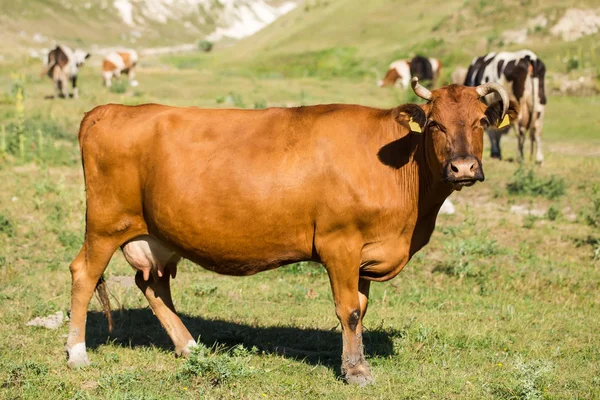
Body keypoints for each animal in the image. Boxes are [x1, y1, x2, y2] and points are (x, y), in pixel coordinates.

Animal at [67, 76, 516, 386]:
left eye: (480, 121)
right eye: (436, 124)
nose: (463, 167)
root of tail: (108, 110)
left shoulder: (364, 253)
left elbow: (360, 308)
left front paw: (355, 362)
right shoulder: (340, 243)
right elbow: (349, 310)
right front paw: (356, 371)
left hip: (156, 233)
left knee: (153, 285)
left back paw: (191, 348)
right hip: (105, 224)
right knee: (84, 274)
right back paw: (77, 352)